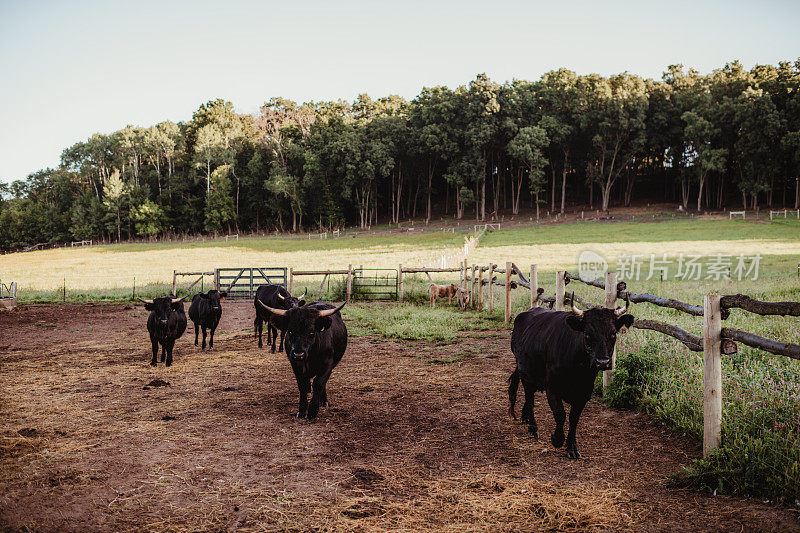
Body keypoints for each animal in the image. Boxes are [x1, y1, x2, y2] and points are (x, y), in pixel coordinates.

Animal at [510, 296, 636, 458]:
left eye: (613, 334)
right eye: (587, 334)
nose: (602, 362)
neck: (578, 370)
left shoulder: (584, 393)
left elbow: (573, 418)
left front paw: (572, 447)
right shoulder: (553, 389)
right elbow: (560, 414)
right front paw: (557, 439)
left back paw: (525, 418)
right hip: (526, 375)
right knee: (530, 399)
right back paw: (532, 428)